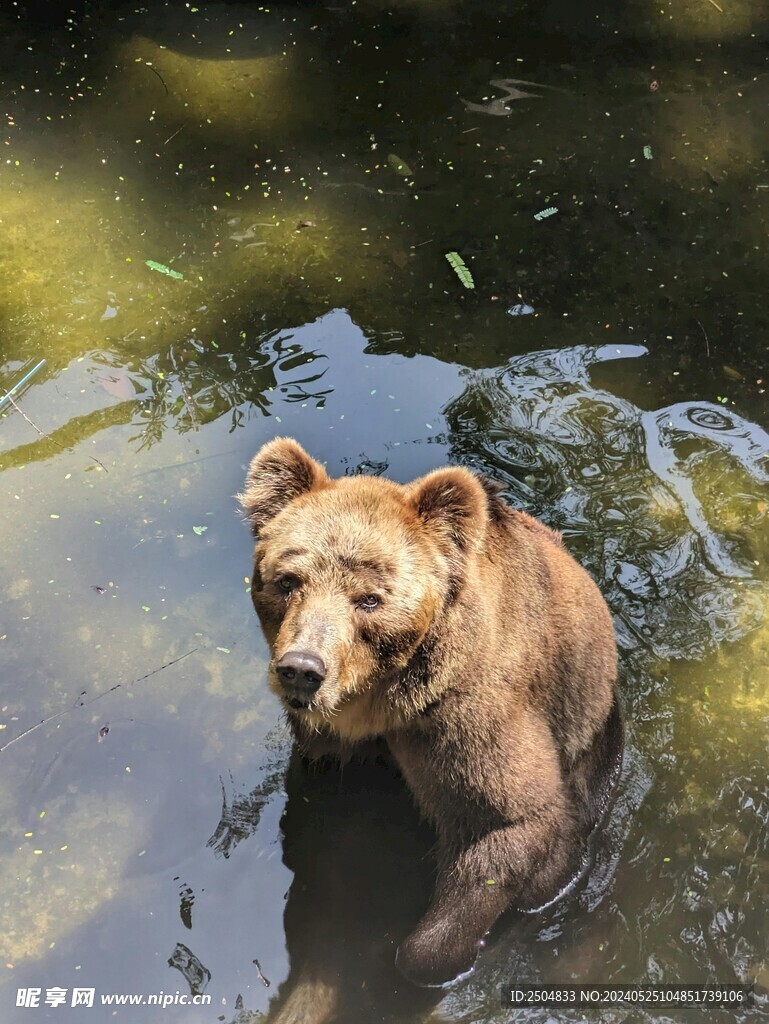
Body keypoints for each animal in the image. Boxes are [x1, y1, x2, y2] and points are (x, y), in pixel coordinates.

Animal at [239, 437, 623, 989]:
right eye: (288, 580)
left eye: (369, 599)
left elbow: (511, 822)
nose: (302, 669)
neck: (379, 703)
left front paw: (415, 959)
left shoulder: (463, 718)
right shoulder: (328, 745)